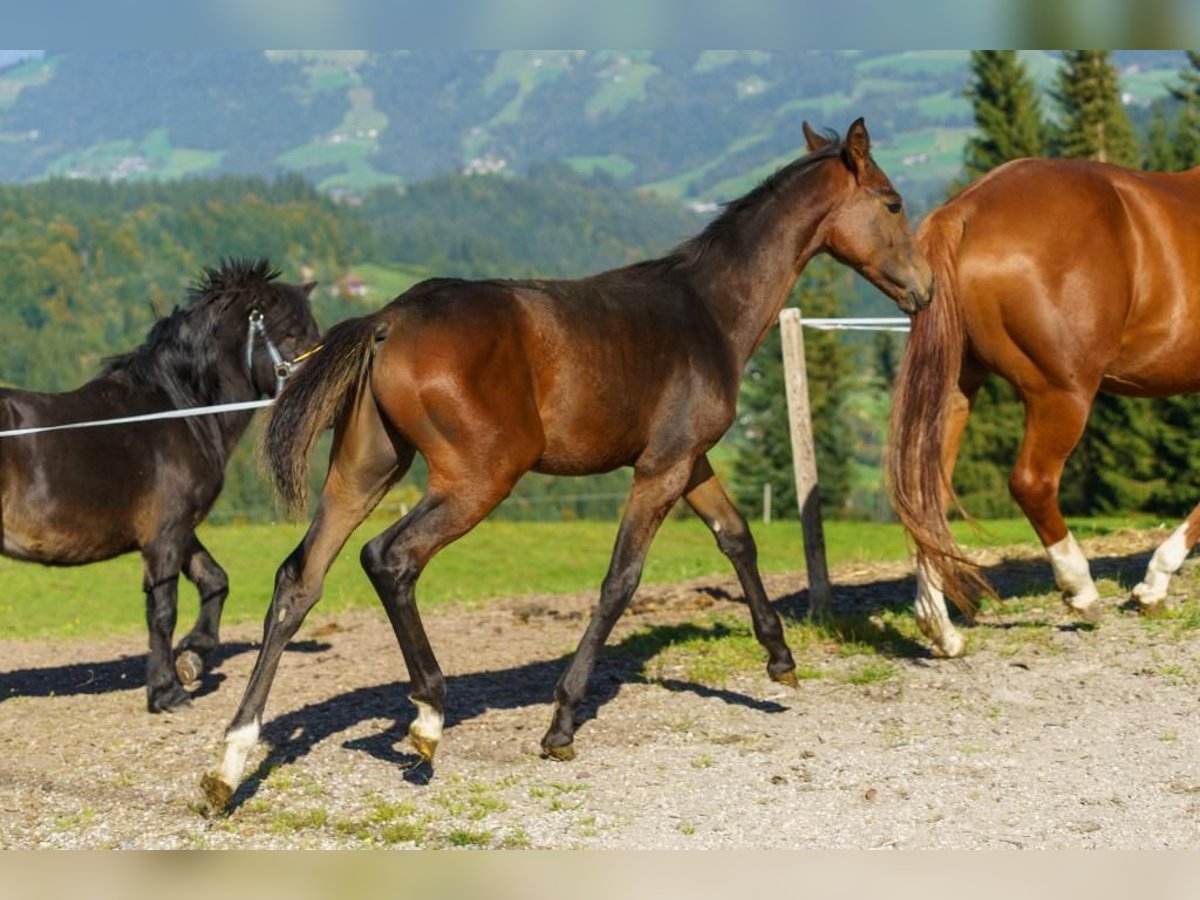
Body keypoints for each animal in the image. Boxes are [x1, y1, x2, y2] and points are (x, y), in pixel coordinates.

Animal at [0, 259, 321, 710]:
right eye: (290, 332)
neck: (178, 413)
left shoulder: (179, 530)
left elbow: (214, 580)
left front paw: (193, 656)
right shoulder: (164, 535)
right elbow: (163, 610)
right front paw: (167, 690)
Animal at [201, 120, 931, 811]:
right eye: (892, 202)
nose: (922, 290)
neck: (708, 312)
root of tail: (386, 321)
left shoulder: (689, 460)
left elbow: (736, 536)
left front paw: (780, 659)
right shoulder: (661, 469)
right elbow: (620, 581)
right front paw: (561, 723)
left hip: (364, 471)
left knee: (299, 580)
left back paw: (230, 762)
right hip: (479, 478)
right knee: (390, 559)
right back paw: (427, 716)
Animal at [888, 158, 1200, 657]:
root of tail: (966, 210)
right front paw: (1154, 583)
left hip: (956, 390)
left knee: (926, 497)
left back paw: (940, 627)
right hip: (1062, 396)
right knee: (1031, 483)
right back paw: (1081, 590)